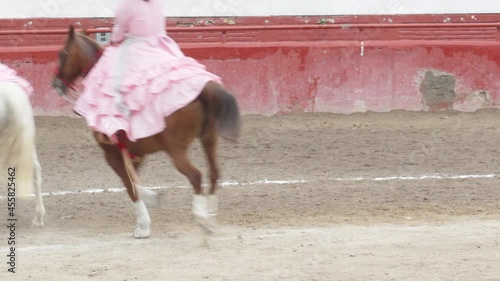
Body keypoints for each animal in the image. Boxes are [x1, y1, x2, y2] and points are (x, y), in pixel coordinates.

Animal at [51, 26, 240, 237]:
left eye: (62, 54)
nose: (56, 83)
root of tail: (204, 88)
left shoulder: (111, 152)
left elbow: (130, 185)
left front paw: (143, 225)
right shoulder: (135, 152)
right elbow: (133, 182)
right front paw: (150, 208)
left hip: (176, 150)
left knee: (196, 176)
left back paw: (202, 218)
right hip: (209, 140)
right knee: (214, 173)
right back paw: (211, 218)